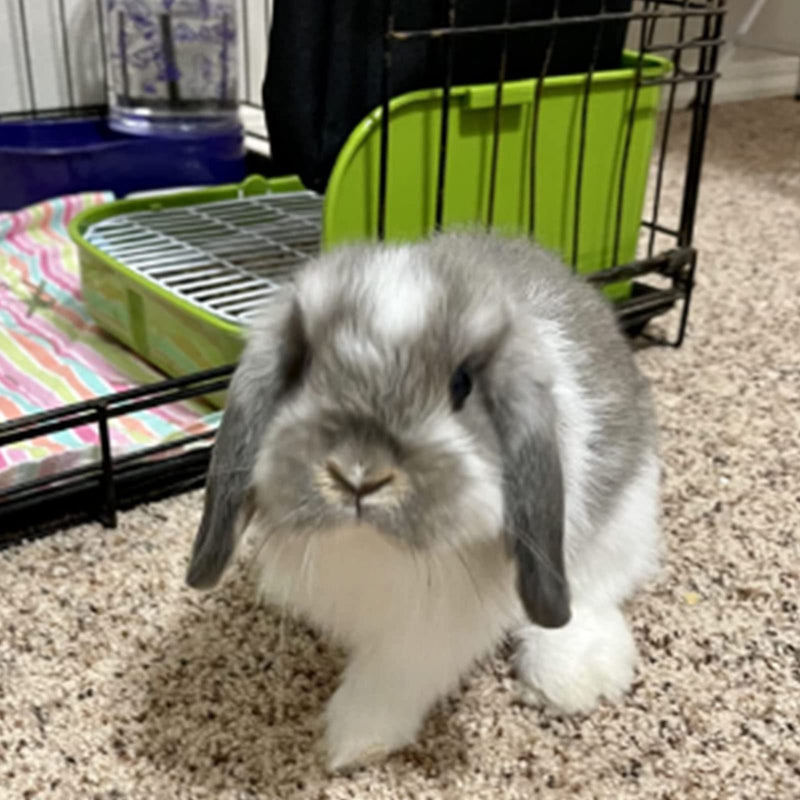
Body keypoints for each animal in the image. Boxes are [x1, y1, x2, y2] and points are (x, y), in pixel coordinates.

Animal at [185, 230, 661, 772]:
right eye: (302, 367)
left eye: (462, 384)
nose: (359, 476)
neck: (368, 548)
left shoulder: (434, 629)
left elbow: (392, 676)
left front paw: (352, 744)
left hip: (623, 522)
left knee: (597, 588)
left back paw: (572, 678)